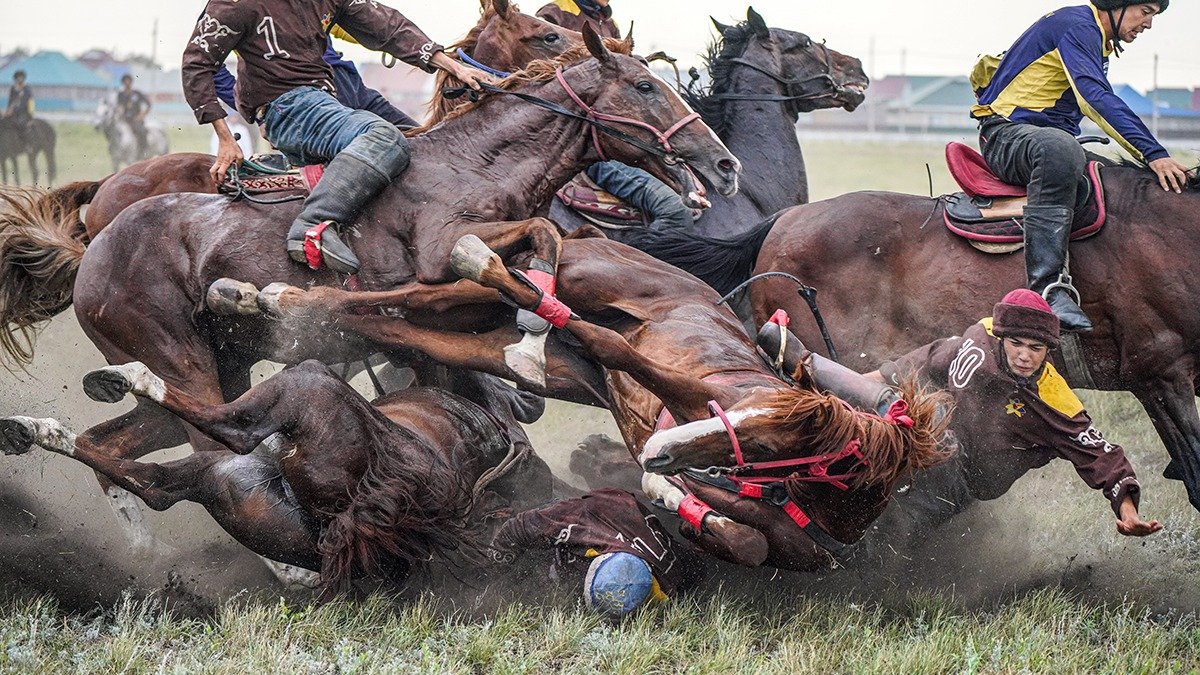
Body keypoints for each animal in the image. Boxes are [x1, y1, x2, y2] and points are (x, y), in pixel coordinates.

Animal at [0, 357, 516, 588]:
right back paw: (32, 429)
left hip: (292, 400)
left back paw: (121, 378)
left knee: (232, 431)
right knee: (151, 484)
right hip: (221, 479)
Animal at [211, 230, 945, 566]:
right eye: (757, 431)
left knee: (401, 322)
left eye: (767, 446)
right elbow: (620, 350)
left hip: (524, 358)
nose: (664, 450)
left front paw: (672, 495)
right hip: (578, 275)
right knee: (479, 280)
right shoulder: (688, 390)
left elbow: (746, 543)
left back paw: (276, 301)